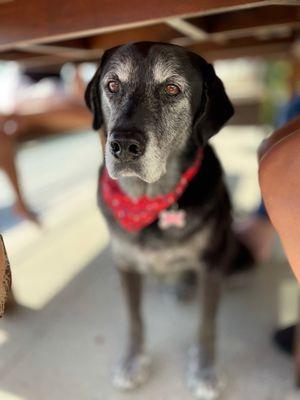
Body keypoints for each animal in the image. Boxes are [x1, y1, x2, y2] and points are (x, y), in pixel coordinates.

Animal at [85, 42, 251, 398]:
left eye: (172, 89)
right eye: (113, 85)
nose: (123, 145)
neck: (149, 201)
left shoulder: (209, 266)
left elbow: (206, 325)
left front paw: (205, 369)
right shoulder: (127, 265)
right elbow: (134, 319)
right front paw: (133, 362)